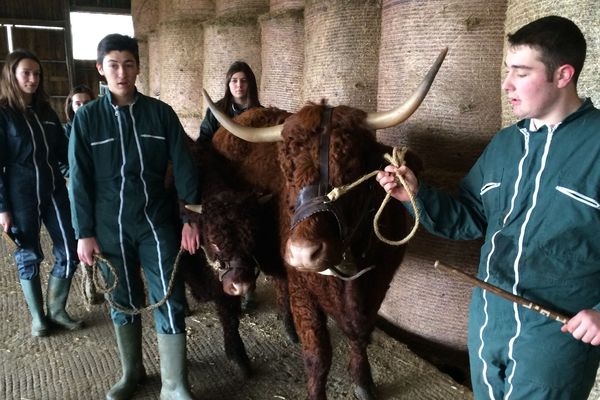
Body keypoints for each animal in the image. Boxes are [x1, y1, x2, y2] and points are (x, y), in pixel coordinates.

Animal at [205, 48, 446, 398]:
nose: (303, 253)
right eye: (286, 169)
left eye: (353, 167)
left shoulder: (379, 283)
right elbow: (318, 356)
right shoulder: (304, 291)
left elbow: (361, 333)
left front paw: (363, 380)